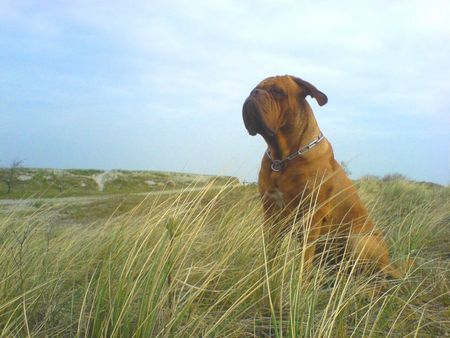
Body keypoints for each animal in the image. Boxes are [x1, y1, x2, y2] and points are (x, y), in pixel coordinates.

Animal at [244, 75, 402, 278]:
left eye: (277, 91)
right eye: (254, 88)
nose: (253, 93)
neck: (282, 158)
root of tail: (388, 261)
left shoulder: (311, 218)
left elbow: (304, 263)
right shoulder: (271, 215)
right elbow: (270, 253)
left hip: (358, 240)